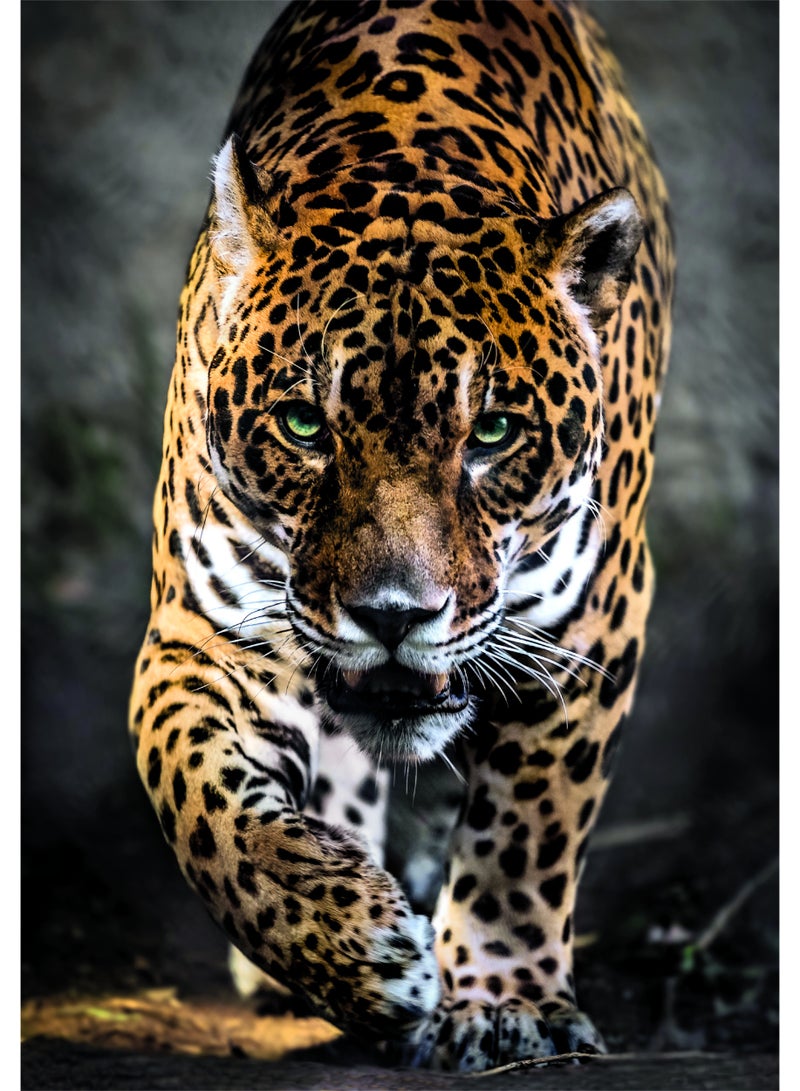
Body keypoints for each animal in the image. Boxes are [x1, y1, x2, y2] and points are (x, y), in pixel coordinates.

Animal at [129, 0, 673, 1072]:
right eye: (305, 424)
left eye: (492, 432)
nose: (393, 615)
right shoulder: (201, 630)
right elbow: (199, 798)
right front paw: (352, 948)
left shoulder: (591, 624)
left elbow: (527, 830)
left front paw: (505, 1003)